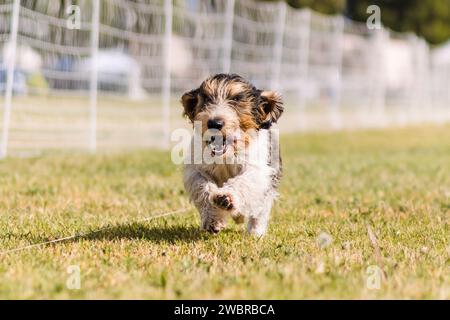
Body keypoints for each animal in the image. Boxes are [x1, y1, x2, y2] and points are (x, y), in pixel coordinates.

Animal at [180, 74, 284, 236]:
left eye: (236, 99)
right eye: (207, 98)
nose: (214, 123)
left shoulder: (258, 170)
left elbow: (244, 182)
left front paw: (226, 198)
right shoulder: (196, 169)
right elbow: (203, 187)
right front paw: (213, 220)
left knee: (260, 210)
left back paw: (255, 232)